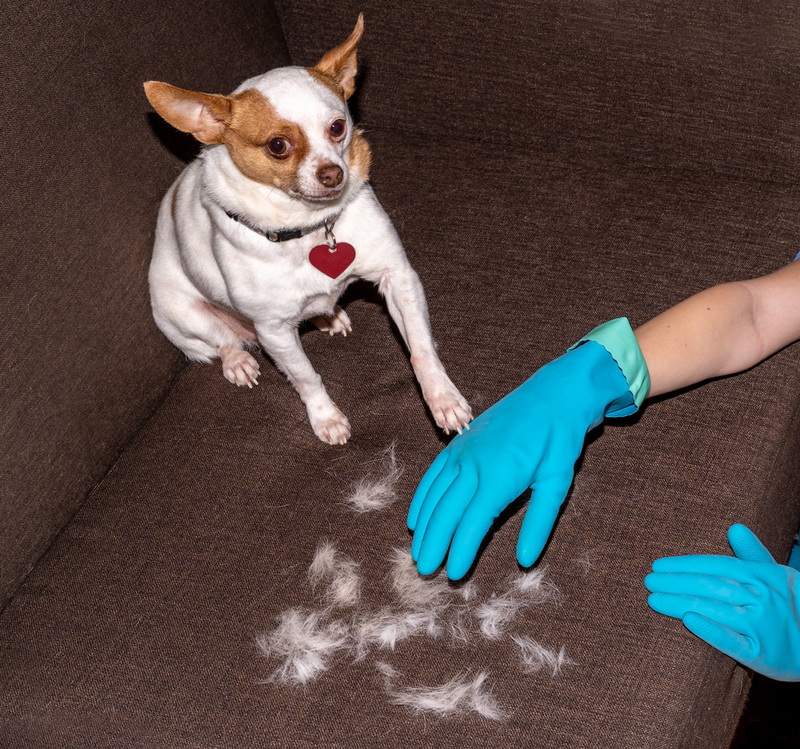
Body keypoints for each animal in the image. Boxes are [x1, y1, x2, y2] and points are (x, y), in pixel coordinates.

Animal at [144, 16, 472, 444]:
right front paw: (326, 418)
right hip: (183, 318)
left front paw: (443, 400)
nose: (333, 173)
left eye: (338, 127)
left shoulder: (399, 279)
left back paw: (329, 316)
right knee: (222, 342)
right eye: (277, 146)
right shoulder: (274, 332)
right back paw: (238, 362)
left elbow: (421, 349)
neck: (310, 227)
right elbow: (306, 377)